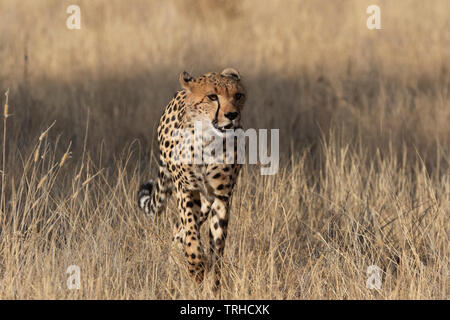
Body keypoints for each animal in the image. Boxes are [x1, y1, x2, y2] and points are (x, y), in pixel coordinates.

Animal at [137, 67, 246, 292]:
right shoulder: (186, 189)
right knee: (182, 230)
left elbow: (218, 245)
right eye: (212, 97)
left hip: (206, 202)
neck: (208, 140)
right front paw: (196, 267)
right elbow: (192, 234)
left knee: (179, 231)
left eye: (238, 96)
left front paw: (213, 283)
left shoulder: (221, 196)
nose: (232, 115)